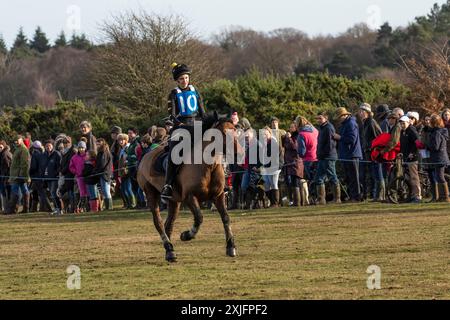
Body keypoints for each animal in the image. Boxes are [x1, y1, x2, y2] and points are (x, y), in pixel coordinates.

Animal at [137, 114, 241, 262]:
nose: (240, 154)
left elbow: (226, 218)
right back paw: (169, 248)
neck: (208, 166)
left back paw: (169, 251)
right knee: (159, 223)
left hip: (174, 201)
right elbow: (199, 218)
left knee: (169, 224)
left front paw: (230, 246)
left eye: (235, 131)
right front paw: (186, 235)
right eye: (223, 133)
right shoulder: (190, 197)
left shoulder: (218, 196)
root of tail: (145, 156)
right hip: (151, 194)